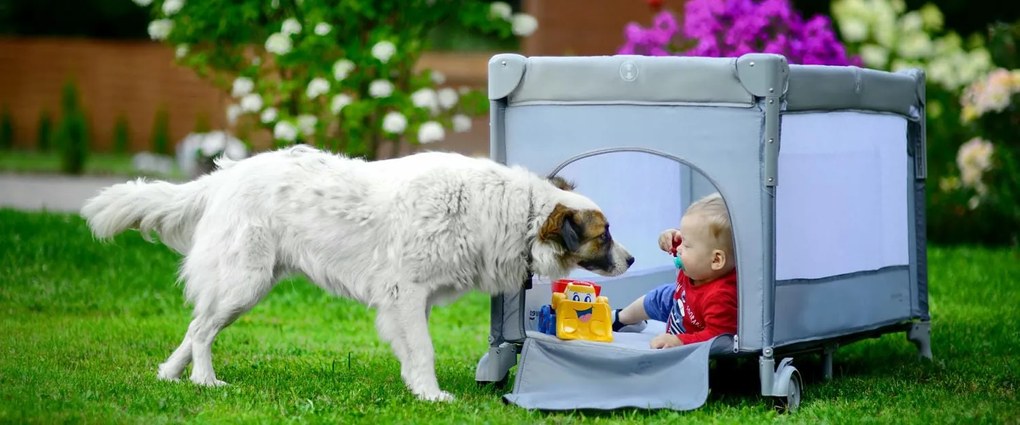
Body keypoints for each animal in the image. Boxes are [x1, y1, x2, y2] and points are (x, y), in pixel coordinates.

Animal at [83, 145, 632, 401]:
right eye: (603, 235)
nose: (630, 260)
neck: (510, 213)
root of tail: (225, 176)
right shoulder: (406, 292)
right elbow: (424, 350)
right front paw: (432, 396)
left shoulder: (410, 303)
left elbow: (413, 350)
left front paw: (416, 388)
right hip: (245, 283)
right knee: (200, 331)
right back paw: (204, 381)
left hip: (240, 286)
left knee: (195, 324)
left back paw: (170, 374)